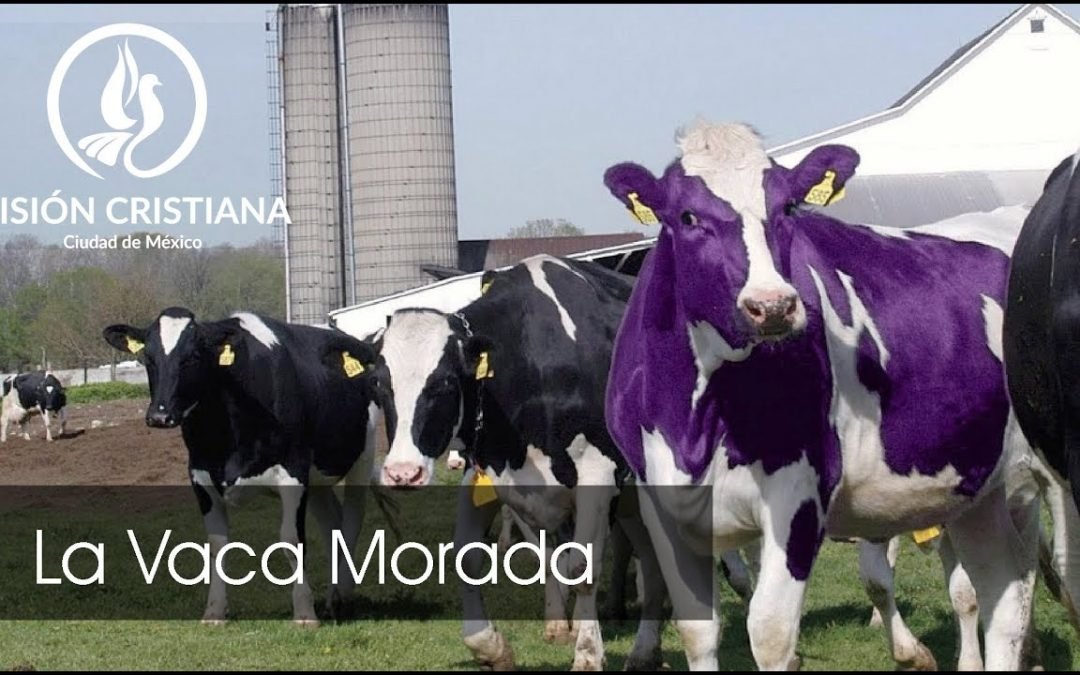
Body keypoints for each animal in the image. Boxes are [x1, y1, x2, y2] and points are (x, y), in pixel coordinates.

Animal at [101, 307, 394, 626]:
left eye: (192, 357)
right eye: (148, 358)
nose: (159, 416)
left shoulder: (293, 471)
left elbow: (291, 540)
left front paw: (304, 614)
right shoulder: (200, 476)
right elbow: (217, 544)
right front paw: (214, 612)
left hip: (361, 458)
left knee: (352, 520)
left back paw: (344, 596)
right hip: (317, 478)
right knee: (333, 526)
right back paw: (333, 598)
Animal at [346, 255, 669, 671]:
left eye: (445, 383)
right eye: (378, 384)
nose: (403, 472)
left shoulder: (597, 475)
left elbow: (581, 568)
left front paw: (587, 655)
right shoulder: (486, 472)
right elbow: (467, 558)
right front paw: (490, 647)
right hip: (632, 499)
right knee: (651, 559)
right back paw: (645, 651)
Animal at [599, 119, 1059, 671]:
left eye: (787, 208)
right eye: (687, 216)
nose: (773, 305)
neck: (697, 422)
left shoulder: (799, 496)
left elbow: (771, 634)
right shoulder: (662, 507)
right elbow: (697, 631)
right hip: (979, 487)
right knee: (1003, 594)